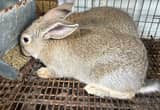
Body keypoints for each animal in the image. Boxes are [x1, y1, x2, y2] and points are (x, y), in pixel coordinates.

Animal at [20, 3, 160, 99]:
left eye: (25, 40)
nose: (23, 52)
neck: (46, 44)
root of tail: (139, 82)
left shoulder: (58, 68)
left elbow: (54, 73)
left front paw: (41, 72)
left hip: (106, 77)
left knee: (129, 95)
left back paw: (93, 89)